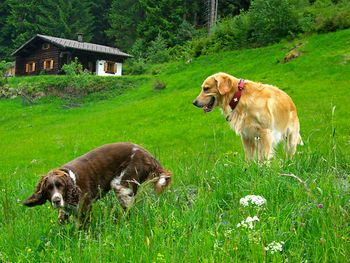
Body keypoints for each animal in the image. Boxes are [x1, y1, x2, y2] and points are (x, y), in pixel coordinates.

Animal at [22, 143, 172, 224]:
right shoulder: (66, 211)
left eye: (61, 186)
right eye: (48, 189)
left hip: (121, 186)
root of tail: (148, 155)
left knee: (128, 211)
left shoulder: (84, 207)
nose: (56, 200)